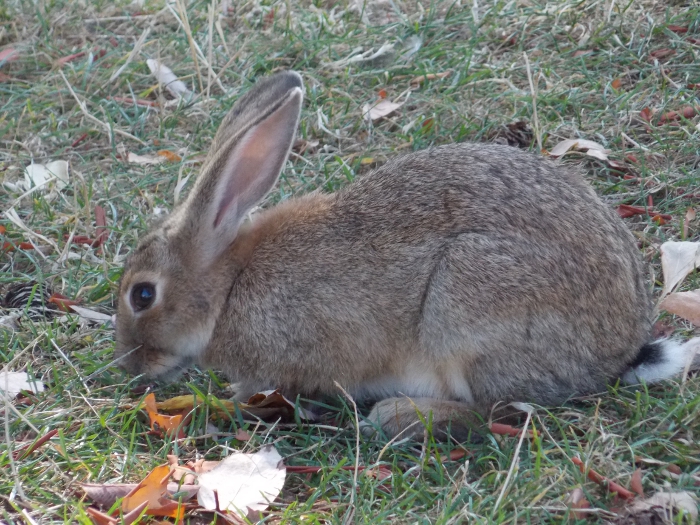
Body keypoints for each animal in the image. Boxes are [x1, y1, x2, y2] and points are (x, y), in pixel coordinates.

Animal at [116, 69, 700, 438]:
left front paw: (209, 404)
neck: (228, 285)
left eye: (143, 295)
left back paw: (398, 417)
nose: (128, 365)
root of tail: (617, 351)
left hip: (465, 310)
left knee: (493, 412)